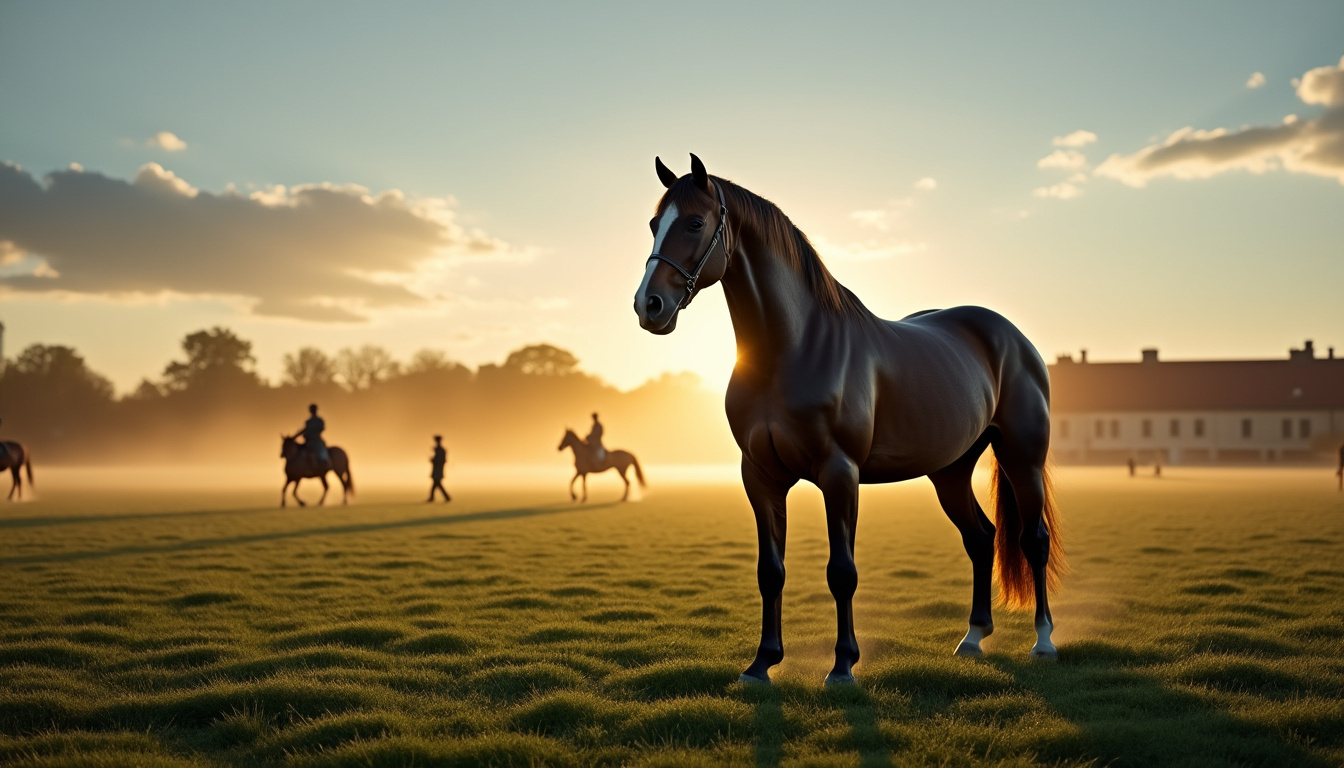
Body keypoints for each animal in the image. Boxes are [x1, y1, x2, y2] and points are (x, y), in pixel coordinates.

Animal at [633, 155, 1066, 685]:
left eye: (695, 222)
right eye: (654, 224)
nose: (649, 305)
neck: (792, 350)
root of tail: (1014, 338)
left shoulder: (839, 474)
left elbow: (842, 571)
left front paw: (842, 666)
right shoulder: (760, 477)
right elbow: (770, 571)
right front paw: (762, 663)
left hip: (1022, 458)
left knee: (1033, 540)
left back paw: (1043, 642)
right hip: (950, 470)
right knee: (981, 538)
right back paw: (972, 638)